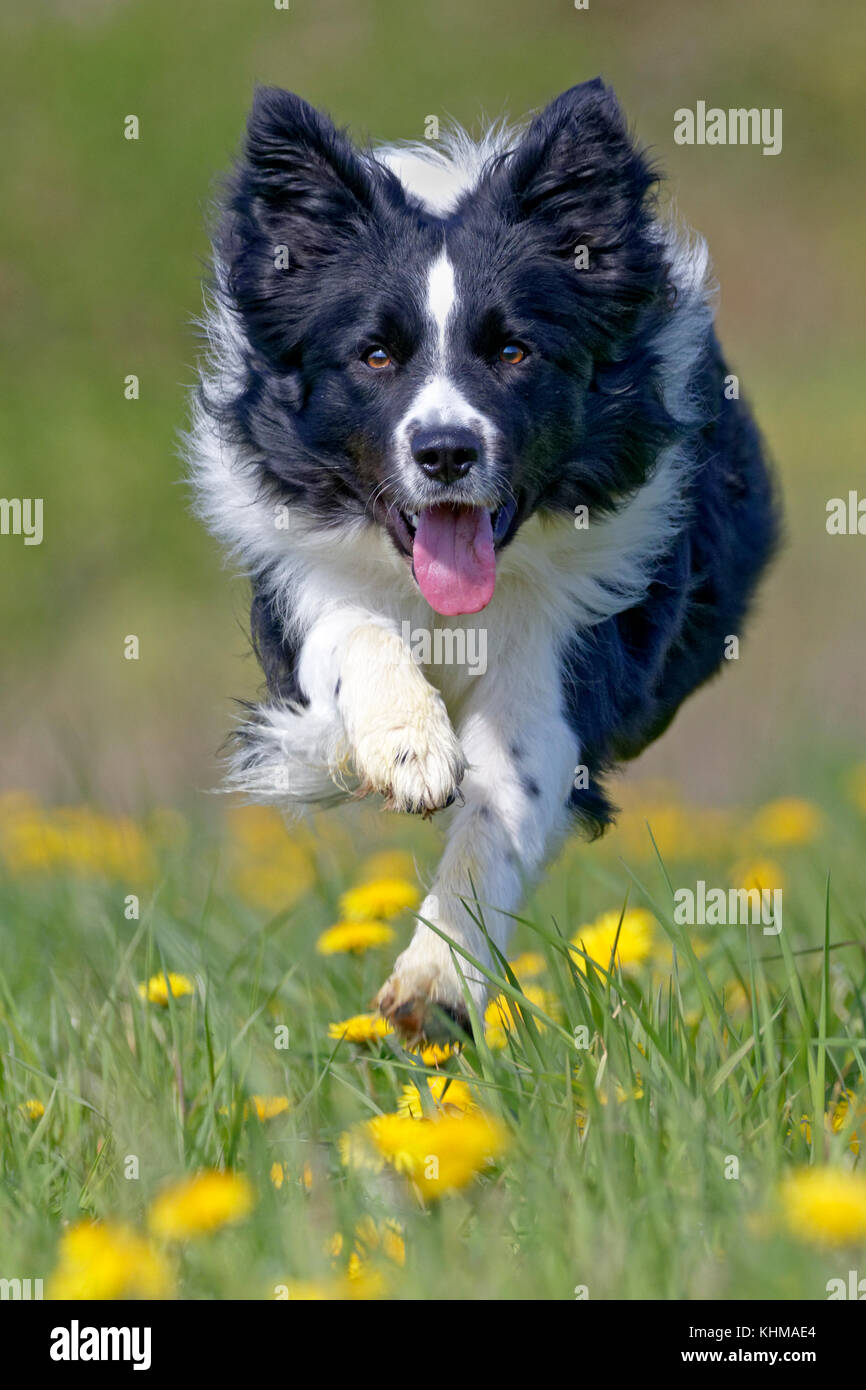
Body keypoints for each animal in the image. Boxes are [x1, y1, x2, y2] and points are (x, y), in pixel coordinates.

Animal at [189, 78, 778, 1034]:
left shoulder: (566, 649)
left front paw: (434, 984)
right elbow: (355, 641)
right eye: (375, 354)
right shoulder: (304, 584)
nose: (445, 451)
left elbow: (507, 794)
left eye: (512, 350)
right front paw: (405, 748)